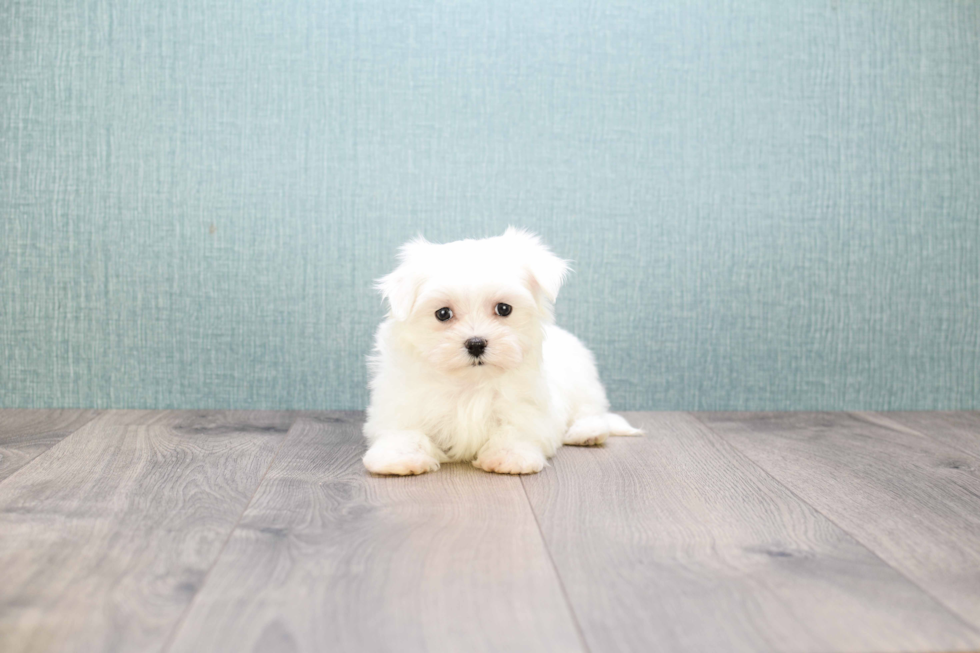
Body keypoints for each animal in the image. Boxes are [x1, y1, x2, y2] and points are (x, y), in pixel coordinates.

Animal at [364, 228, 640, 474]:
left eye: (504, 309)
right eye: (443, 313)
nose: (476, 343)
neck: (470, 383)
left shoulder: (528, 403)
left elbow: (518, 427)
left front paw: (509, 456)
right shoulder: (402, 401)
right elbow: (403, 430)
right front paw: (399, 457)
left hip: (582, 379)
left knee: (590, 409)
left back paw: (587, 432)